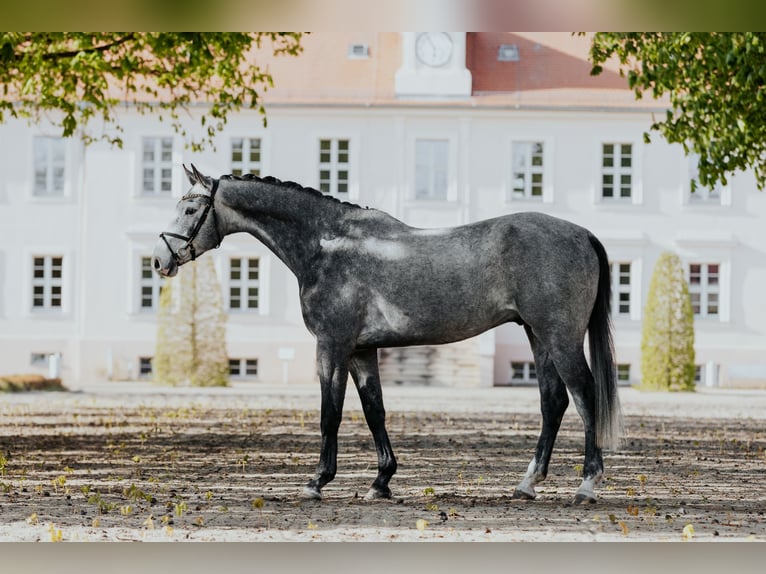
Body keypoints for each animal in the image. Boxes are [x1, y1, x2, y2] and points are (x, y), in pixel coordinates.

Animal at [153, 164, 623, 504]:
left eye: (191, 210)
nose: (160, 260)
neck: (328, 244)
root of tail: (582, 233)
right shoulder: (362, 351)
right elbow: (374, 410)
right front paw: (380, 482)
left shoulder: (332, 346)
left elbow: (330, 413)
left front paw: (317, 482)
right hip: (538, 336)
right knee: (553, 401)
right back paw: (527, 484)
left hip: (559, 337)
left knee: (584, 395)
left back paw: (586, 485)